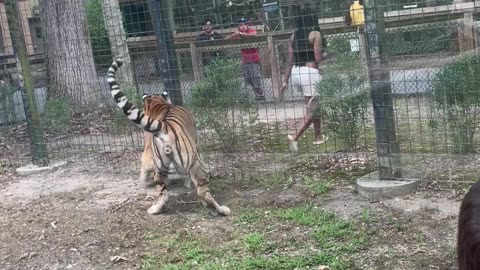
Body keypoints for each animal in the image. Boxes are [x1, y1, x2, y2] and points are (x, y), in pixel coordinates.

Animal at [107, 58, 231, 216]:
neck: (158, 104)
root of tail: (164, 127)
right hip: (194, 162)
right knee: (203, 191)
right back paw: (220, 209)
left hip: (160, 167)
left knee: (163, 192)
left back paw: (155, 209)